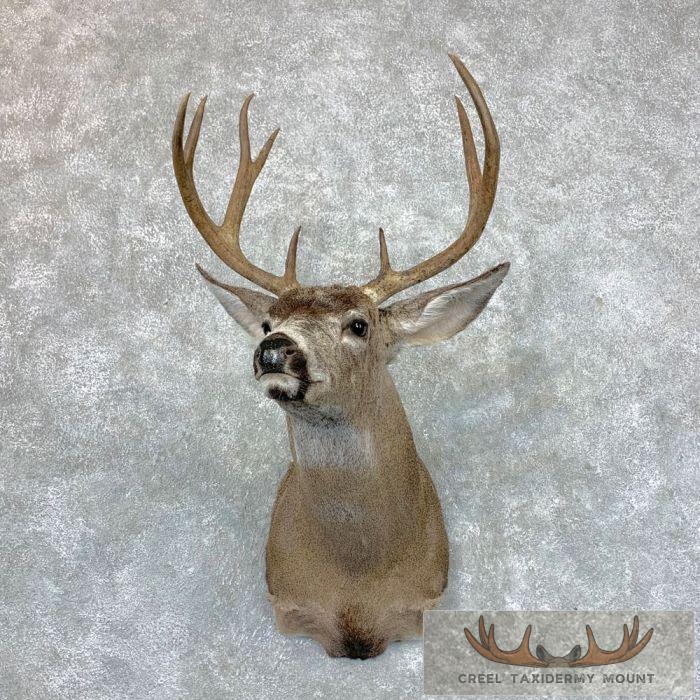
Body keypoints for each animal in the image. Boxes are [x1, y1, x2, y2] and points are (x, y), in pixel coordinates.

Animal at [171, 54, 508, 659]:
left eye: (358, 324)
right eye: (268, 322)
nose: (274, 349)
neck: (357, 581)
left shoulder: (421, 604)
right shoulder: (289, 604)